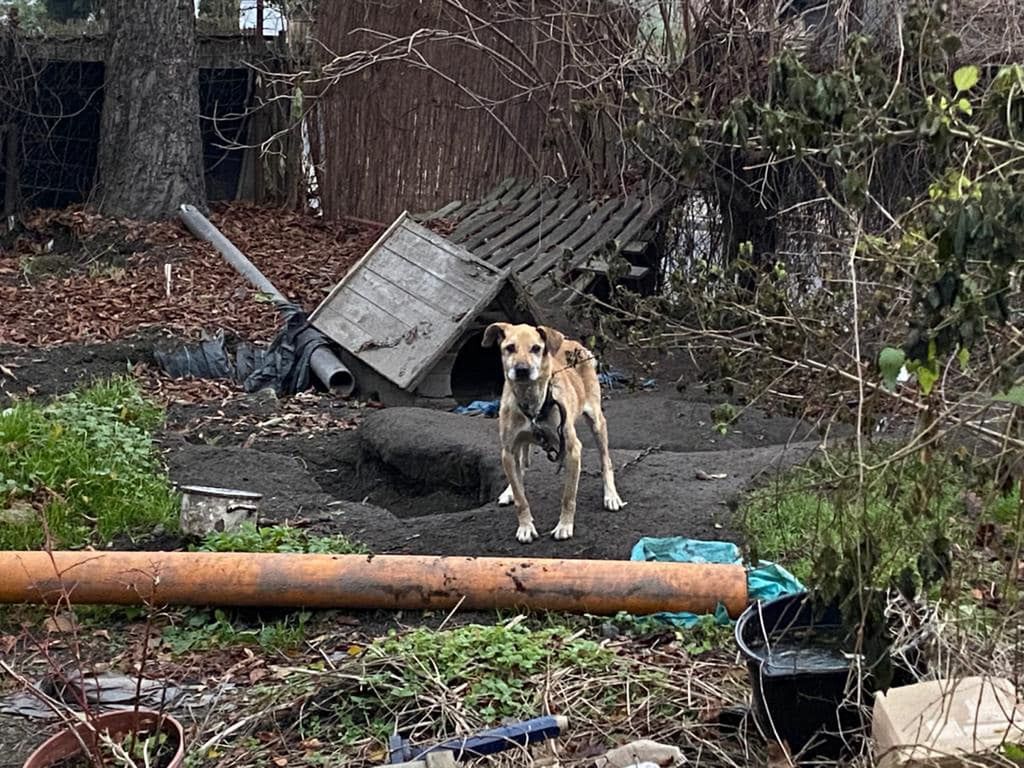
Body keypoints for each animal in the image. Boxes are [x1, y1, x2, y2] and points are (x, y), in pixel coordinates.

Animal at [481, 321, 622, 544]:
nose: (522, 370)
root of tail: (574, 343)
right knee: (521, 466)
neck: (532, 405)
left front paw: (564, 526)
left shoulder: (573, 450)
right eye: (510, 348)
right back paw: (509, 490)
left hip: (597, 422)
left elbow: (568, 496)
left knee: (605, 461)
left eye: (536, 348)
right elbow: (521, 497)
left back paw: (611, 496)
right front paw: (525, 526)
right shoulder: (508, 452)